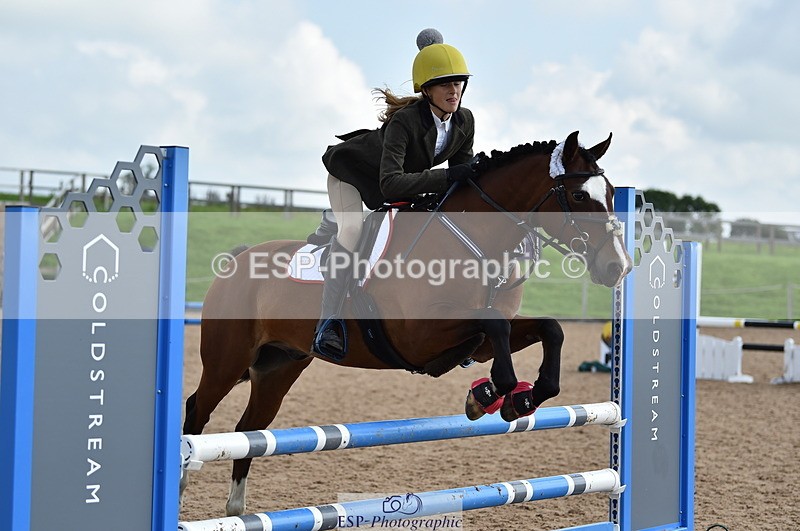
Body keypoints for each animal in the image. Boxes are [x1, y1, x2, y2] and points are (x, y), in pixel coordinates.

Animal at [180, 131, 632, 516]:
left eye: (612, 194)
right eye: (578, 195)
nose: (619, 266)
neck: (474, 240)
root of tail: (238, 259)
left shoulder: (478, 336)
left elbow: (546, 328)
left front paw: (512, 397)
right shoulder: (420, 336)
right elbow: (496, 329)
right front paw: (496, 393)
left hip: (280, 365)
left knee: (249, 431)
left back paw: (237, 510)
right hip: (227, 360)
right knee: (198, 411)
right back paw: (183, 482)